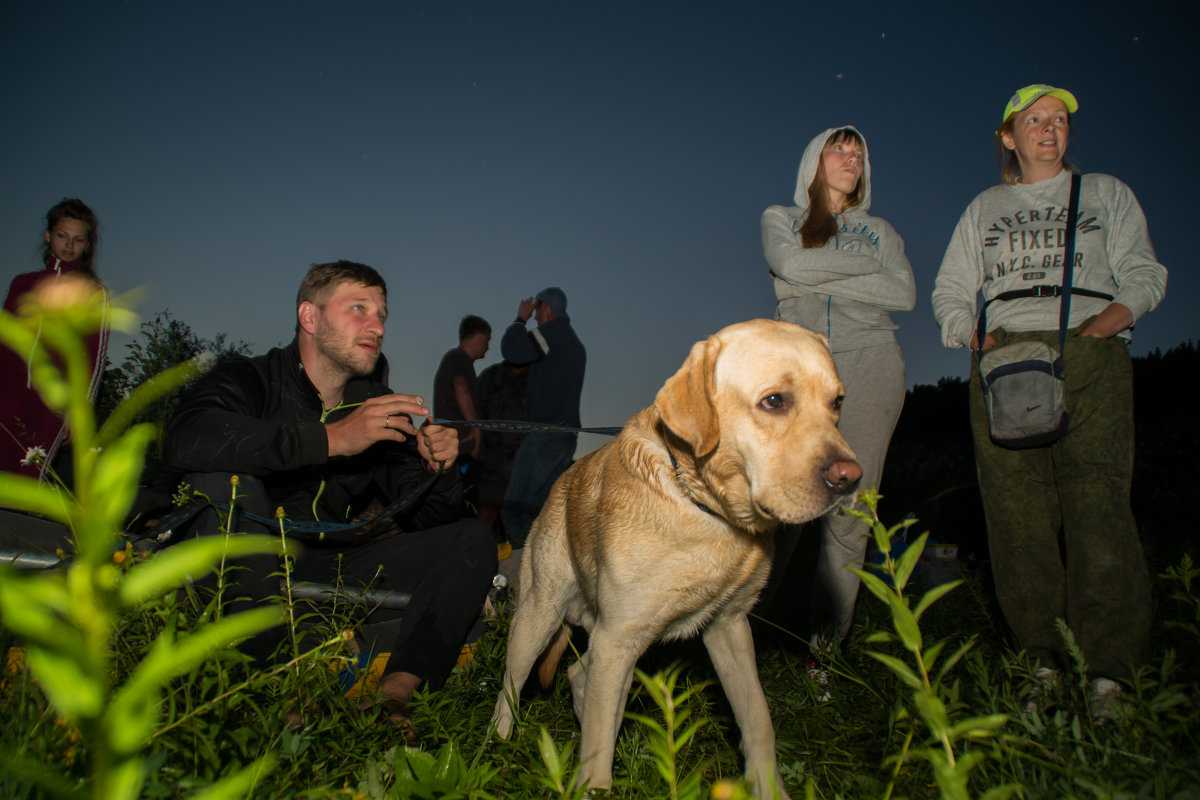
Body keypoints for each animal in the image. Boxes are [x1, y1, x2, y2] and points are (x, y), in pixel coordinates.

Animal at [489, 321, 864, 800]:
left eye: (837, 402)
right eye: (774, 401)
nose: (849, 479)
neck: (708, 509)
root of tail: (561, 483)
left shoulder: (728, 627)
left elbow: (758, 720)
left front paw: (768, 786)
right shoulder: (617, 636)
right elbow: (597, 750)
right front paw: (593, 780)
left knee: (579, 677)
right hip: (540, 619)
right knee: (510, 689)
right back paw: (497, 745)